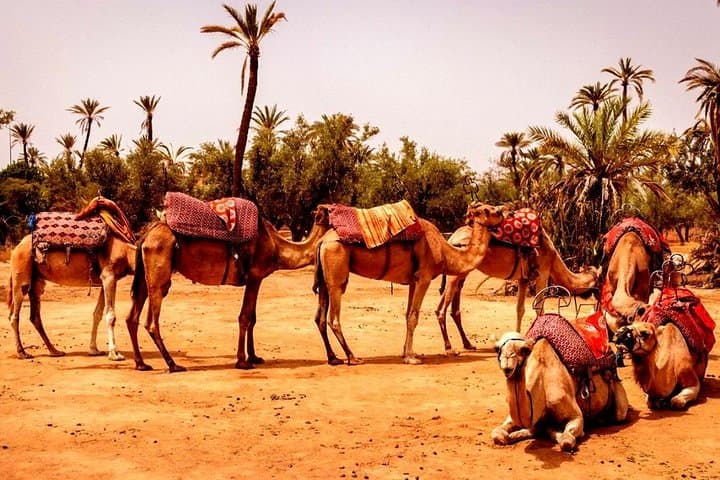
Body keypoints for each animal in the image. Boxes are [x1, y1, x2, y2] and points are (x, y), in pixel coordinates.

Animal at [8, 231, 136, 361]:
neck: (126, 252)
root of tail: (17, 247)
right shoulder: (109, 276)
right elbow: (110, 316)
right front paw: (114, 354)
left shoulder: (105, 281)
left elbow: (97, 314)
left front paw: (94, 350)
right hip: (21, 273)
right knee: (14, 315)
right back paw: (22, 353)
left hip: (36, 282)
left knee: (35, 316)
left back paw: (55, 351)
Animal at [124, 205, 331, 372]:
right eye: (331, 211)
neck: (276, 246)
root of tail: (146, 236)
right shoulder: (255, 275)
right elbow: (245, 317)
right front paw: (242, 361)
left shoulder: (256, 279)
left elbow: (253, 318)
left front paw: (254, 356)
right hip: (159, 274)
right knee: (151, 321)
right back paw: (173, 365)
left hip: (144, 276)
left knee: (131, 317)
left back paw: (141, 364)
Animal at [312, 202, 505, 365]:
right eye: (489, 210)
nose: (503, 211)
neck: (444, 252)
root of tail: (322, 242)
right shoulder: (424, 278)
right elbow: (413, 316)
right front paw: (412, 358)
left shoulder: (413, 281)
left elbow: (407, 315)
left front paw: (406, 353)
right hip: (336, 273)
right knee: (333, 318)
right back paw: (352, 357)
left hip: (324, 279)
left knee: (319, 317)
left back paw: (333, 358)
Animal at [435, 227, 599, 353]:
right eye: (598, 281)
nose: (599, 298)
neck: (553, 257)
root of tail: (451, 239)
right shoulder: (543, 273)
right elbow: (539, 307)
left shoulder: (523, 279)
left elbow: (520, 309)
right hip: (457, 272)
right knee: (442, 308)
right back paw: (449, 347)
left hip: (461, 272)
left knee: (449, 306)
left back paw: (468, 344)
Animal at [492, 331, 629, 451]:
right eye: (497, 348)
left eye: (524, 349)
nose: (507, 366)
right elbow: (497, 433)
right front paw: (512, 435)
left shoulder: (575, 416)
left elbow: (566, 440)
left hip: (619, 398)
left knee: (619, 414)